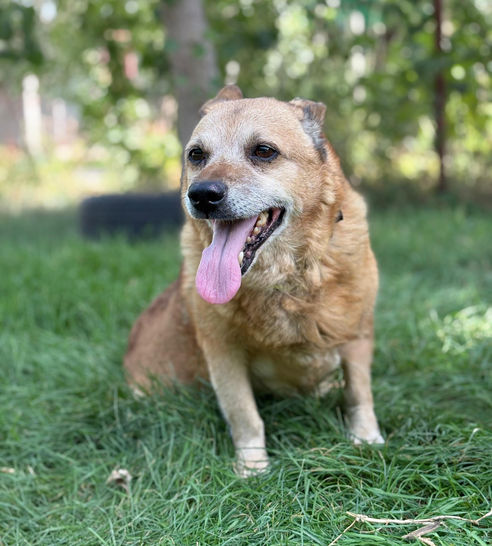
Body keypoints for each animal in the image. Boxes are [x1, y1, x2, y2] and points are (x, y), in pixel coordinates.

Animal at [124, 85, 383, 476]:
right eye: (197, 155)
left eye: (263, 151)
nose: (202, 195)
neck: (286, 280)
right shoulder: (222, 351)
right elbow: (244, 413)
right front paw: (253, 468)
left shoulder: (358, 334)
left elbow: (359, 393)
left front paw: (366, 439)